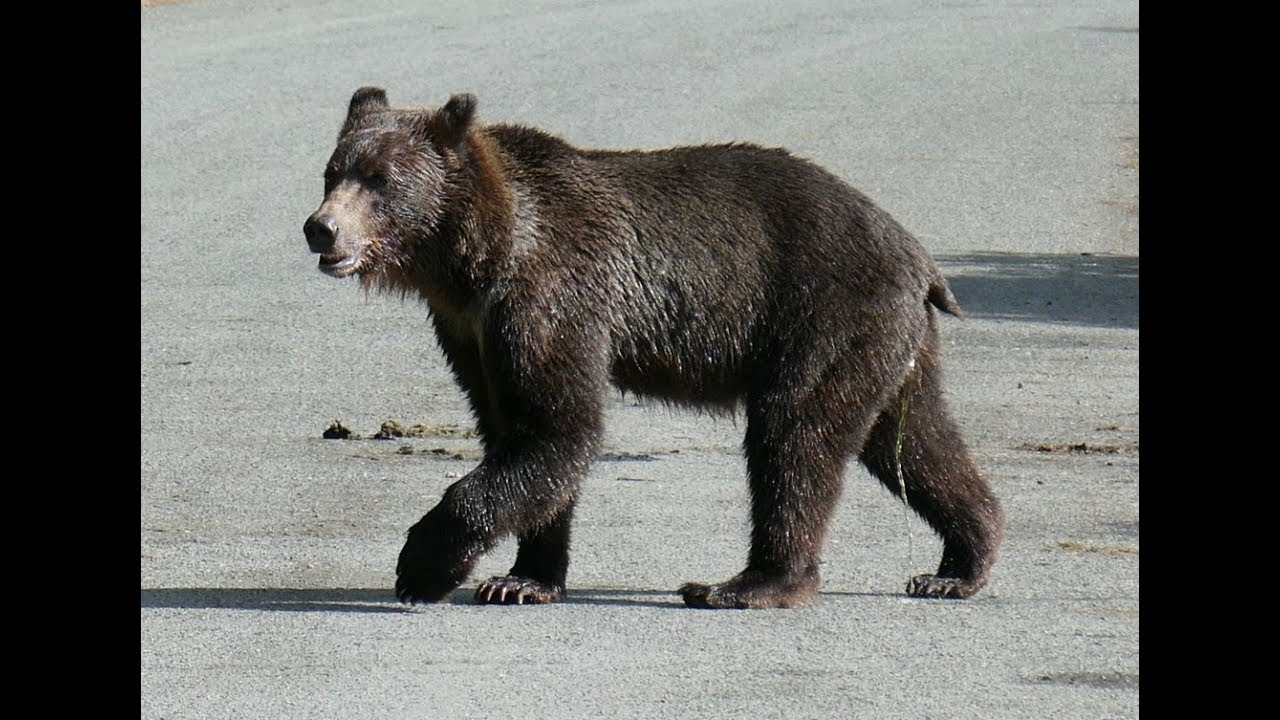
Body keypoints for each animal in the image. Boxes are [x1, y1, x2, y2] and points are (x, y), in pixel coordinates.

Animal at [303, 87, 1005, 609]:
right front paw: (524, 579)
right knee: (911, 439)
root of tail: (917, 255)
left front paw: (422, 566)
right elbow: (518, 430)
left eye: (379, 179)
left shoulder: (551, 295)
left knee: (794, 436)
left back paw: (746, 583)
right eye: (331, 172)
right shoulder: (470, 331)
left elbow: (560, 427)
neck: (475, 258)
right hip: (890, 343)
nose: (321, 228)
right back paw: (958, 564)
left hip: (822, 315)